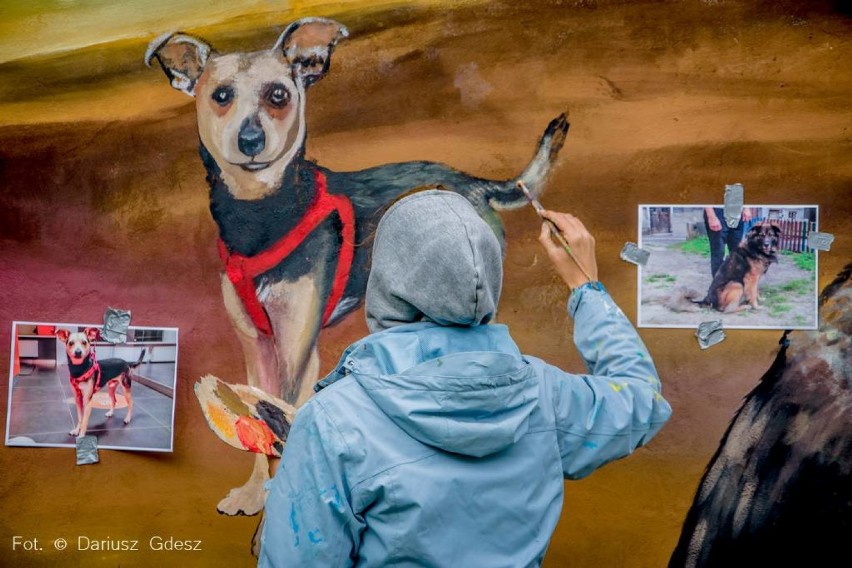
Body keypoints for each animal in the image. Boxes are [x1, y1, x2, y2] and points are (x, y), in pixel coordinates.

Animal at [146, 16, 568, 516]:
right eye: (221, 95)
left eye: (278, 95)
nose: (250, 140)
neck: (263, 216)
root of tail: (475, 184)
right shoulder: (255, 343)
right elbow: (257, 415)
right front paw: (253, 491)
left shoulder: (297, 347)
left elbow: (282, 412)